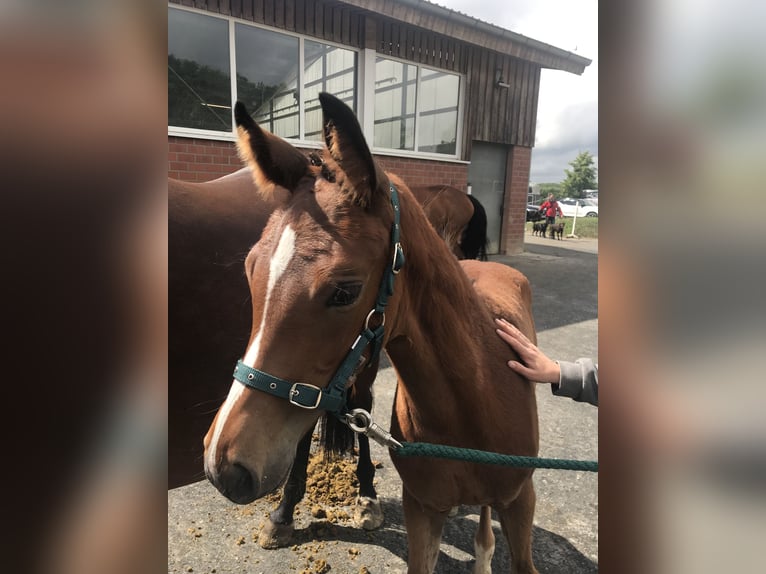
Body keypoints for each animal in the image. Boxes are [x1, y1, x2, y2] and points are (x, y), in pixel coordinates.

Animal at [204, 92, 540, 572]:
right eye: (251, 269)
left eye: (345, 291)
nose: (224, 466)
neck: (474, 402)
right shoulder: (422, 511)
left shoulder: (521, 503)